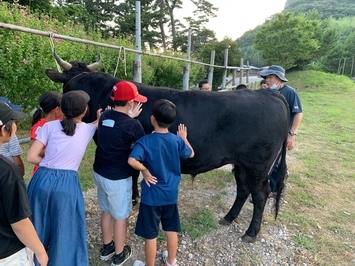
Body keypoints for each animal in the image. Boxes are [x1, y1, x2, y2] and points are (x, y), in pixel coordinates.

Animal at [46, 52, 290, 243]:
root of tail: (269, 93)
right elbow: (135, 174)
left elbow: (131, 174)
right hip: (240, 163)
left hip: (258, 165)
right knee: (243, 189)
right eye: (72, 88)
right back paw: (229, 217)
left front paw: (133, 199)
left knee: (260, 194)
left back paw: (251, 232)